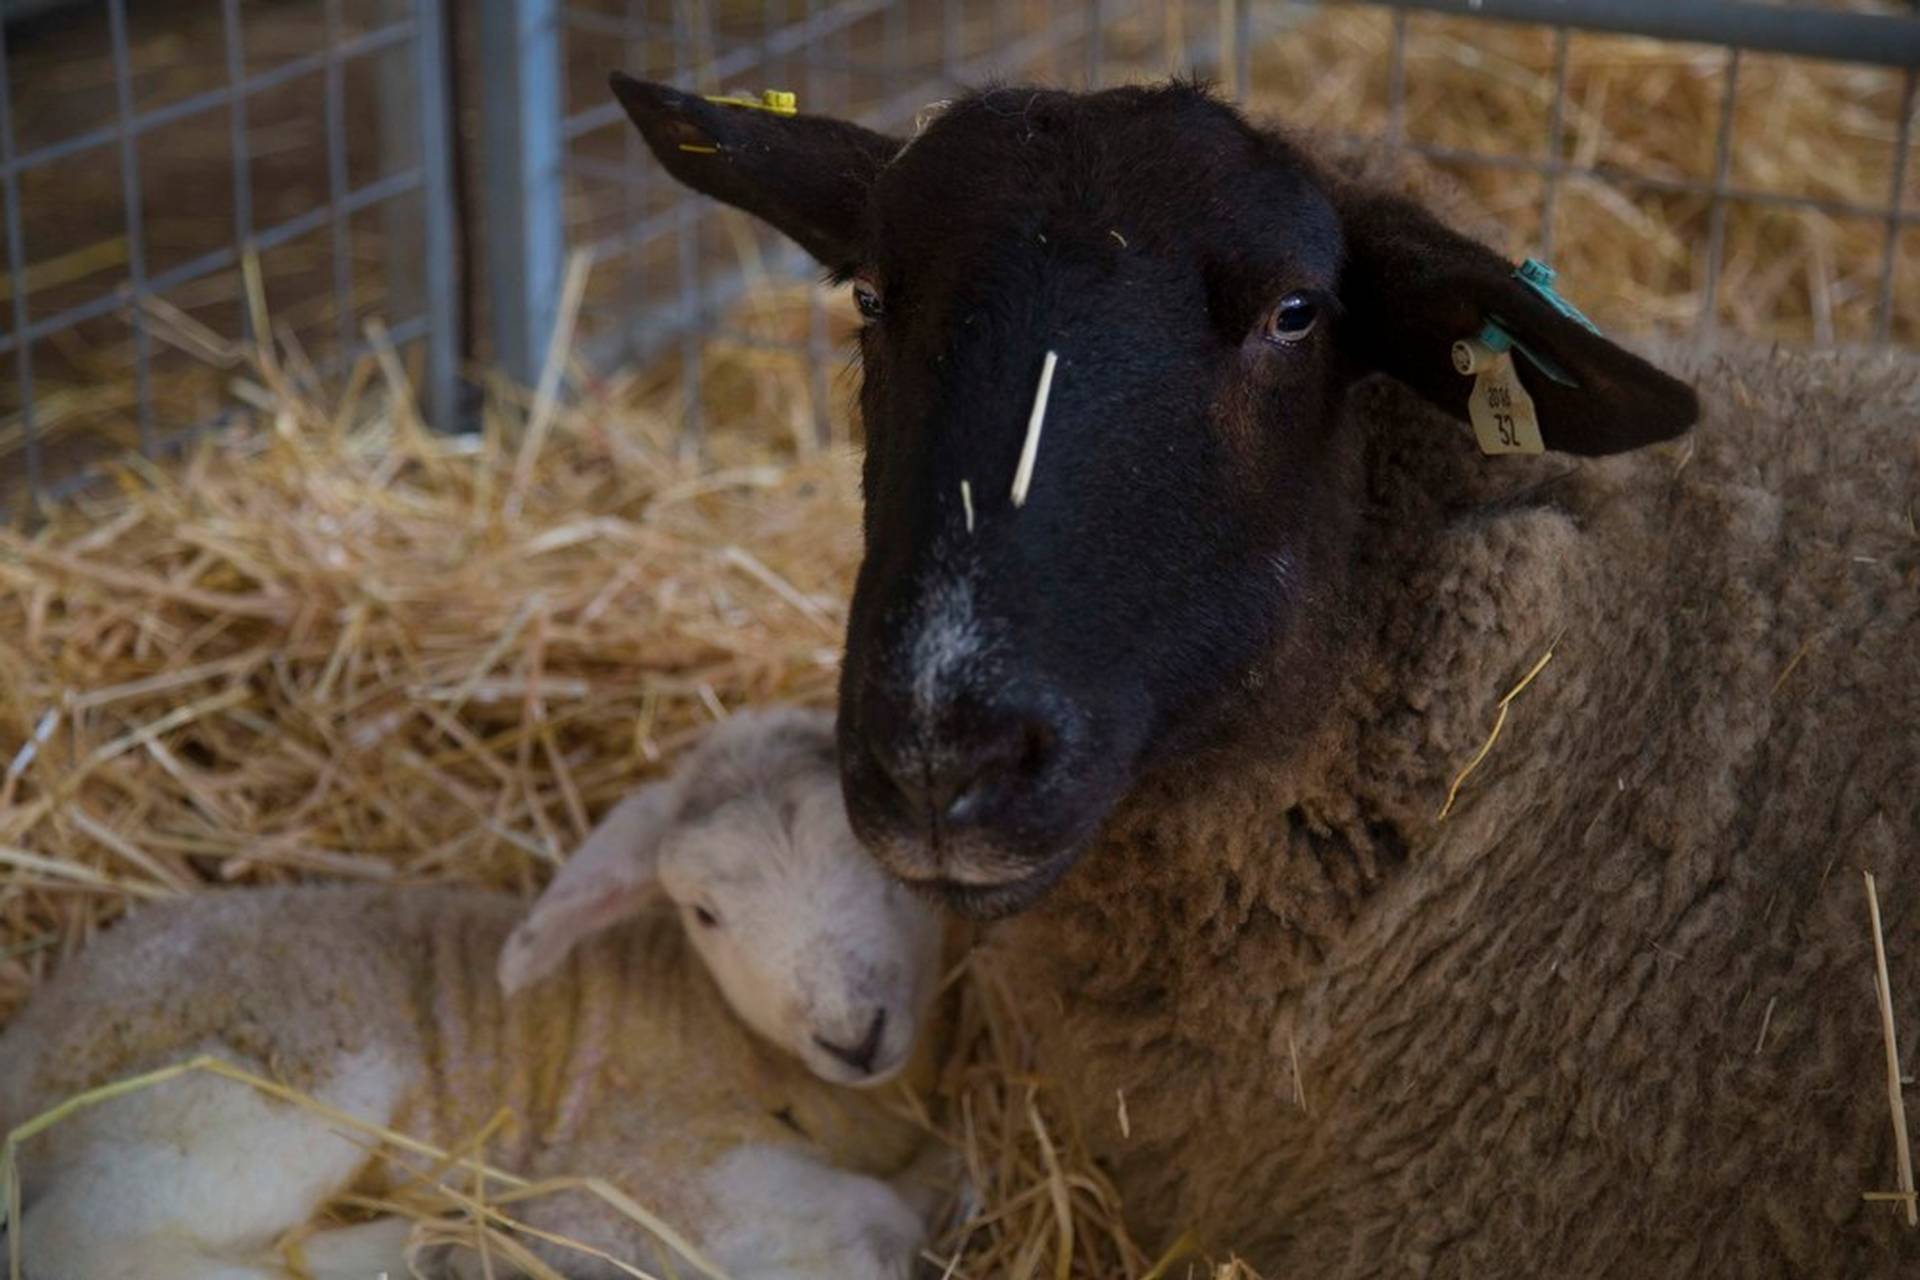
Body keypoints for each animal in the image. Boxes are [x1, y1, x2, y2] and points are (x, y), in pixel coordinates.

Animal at [0, 710, 944, 1280]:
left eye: (875, 855)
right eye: (704, 912)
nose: (852, 1033)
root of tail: (32, 1037)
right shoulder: (635, 1172)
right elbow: (878, 1219)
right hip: (258, 1089)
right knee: (86, 1246)